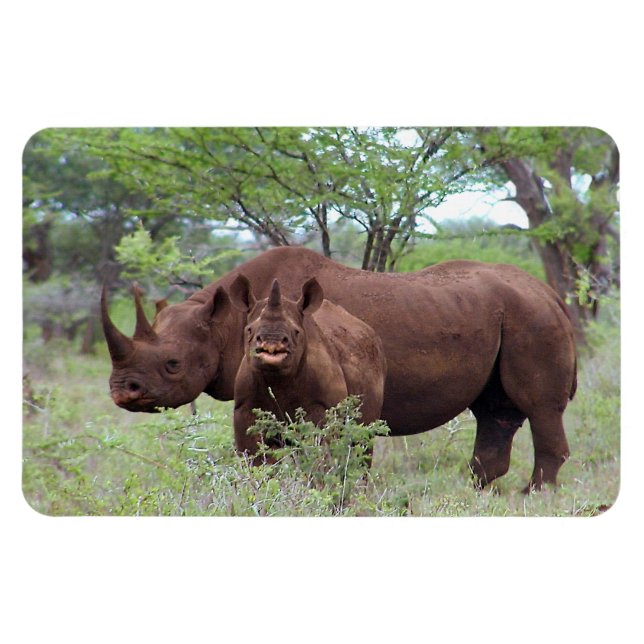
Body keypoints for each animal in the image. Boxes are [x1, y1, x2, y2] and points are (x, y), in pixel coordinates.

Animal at [228, 276, 386, 455]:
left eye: (296, 332)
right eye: (249, 330)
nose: (271, 342)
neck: (278, 380)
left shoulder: (322, 406)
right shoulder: (244, 408)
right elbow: (255, 454)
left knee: (362, 440)